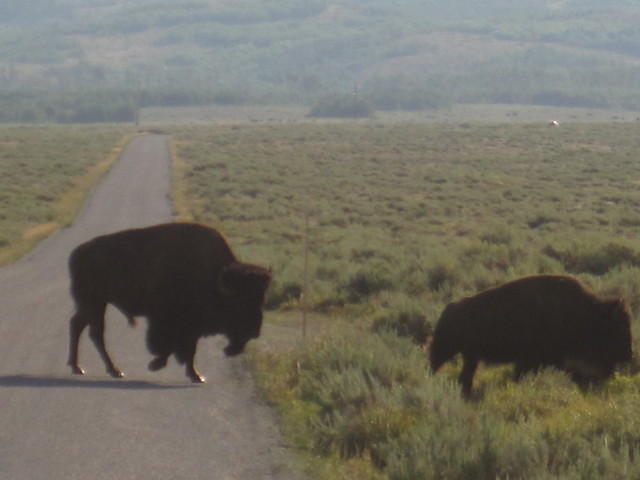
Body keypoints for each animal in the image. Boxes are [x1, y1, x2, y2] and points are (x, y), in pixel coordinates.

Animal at [66, 221, 272, 382]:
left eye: (261, 300)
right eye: (240, 302)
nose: (254, 331)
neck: (215, 277)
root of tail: (77, 253)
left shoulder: (192, 326)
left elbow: (189, 350)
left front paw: (196, 375)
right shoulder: (169, 321)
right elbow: (171, 345)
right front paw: (156, 364)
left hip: (93, 304)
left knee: (78, 325)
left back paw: (78, 367)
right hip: (95, 303)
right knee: (96, 333)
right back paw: (114, 371)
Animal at [428, 276, 632, 396]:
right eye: (619, 327)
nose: (629, 355)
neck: (588, 312)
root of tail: (448, 309)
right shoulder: (531, 360)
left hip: (470, 356)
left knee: (465, 375)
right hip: (445, 350)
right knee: (435, 366)